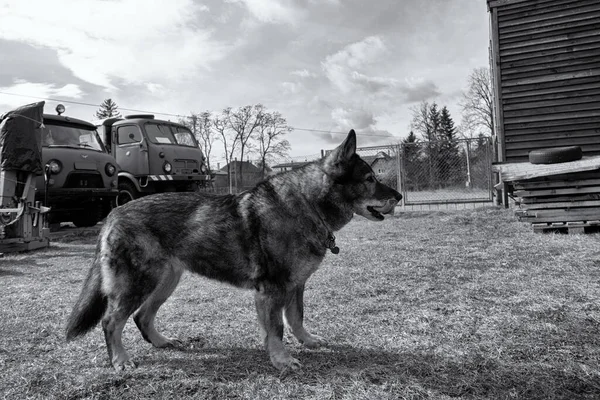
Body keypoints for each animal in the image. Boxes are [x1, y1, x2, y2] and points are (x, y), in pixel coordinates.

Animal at [65, 130, 400, 372]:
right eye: (370, 179)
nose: (397, 196)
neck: (307, 205)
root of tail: (114, 212)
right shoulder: (272, 290)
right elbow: (277, 328)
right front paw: (281, 360)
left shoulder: (295, 286)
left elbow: (297, 317)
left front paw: (307, 341)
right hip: (139, 283)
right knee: (112, 321)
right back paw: (120, 362)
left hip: (165, 281)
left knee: (141, 317)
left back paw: (162, 342)